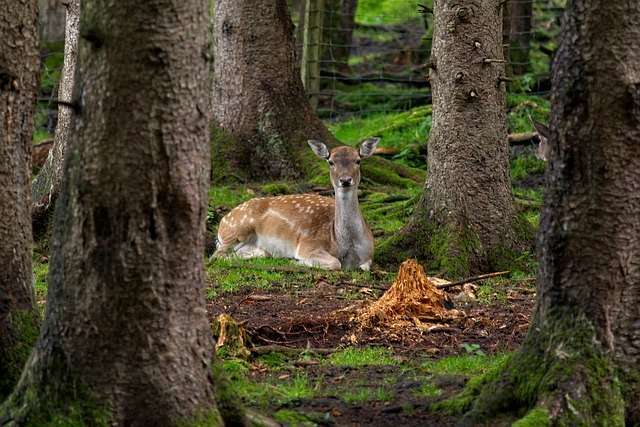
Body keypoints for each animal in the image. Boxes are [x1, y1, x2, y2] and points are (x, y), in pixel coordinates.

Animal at [212, 138, 380, 271]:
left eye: (358, 160)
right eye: (331, 162)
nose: (345, 180)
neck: (343, 244)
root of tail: (223, 220)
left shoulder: (369, 255)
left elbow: (365, 266)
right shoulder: (308, 245)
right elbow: (335, 263)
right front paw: (296, 261)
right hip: (237, 229)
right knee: (216, 256)